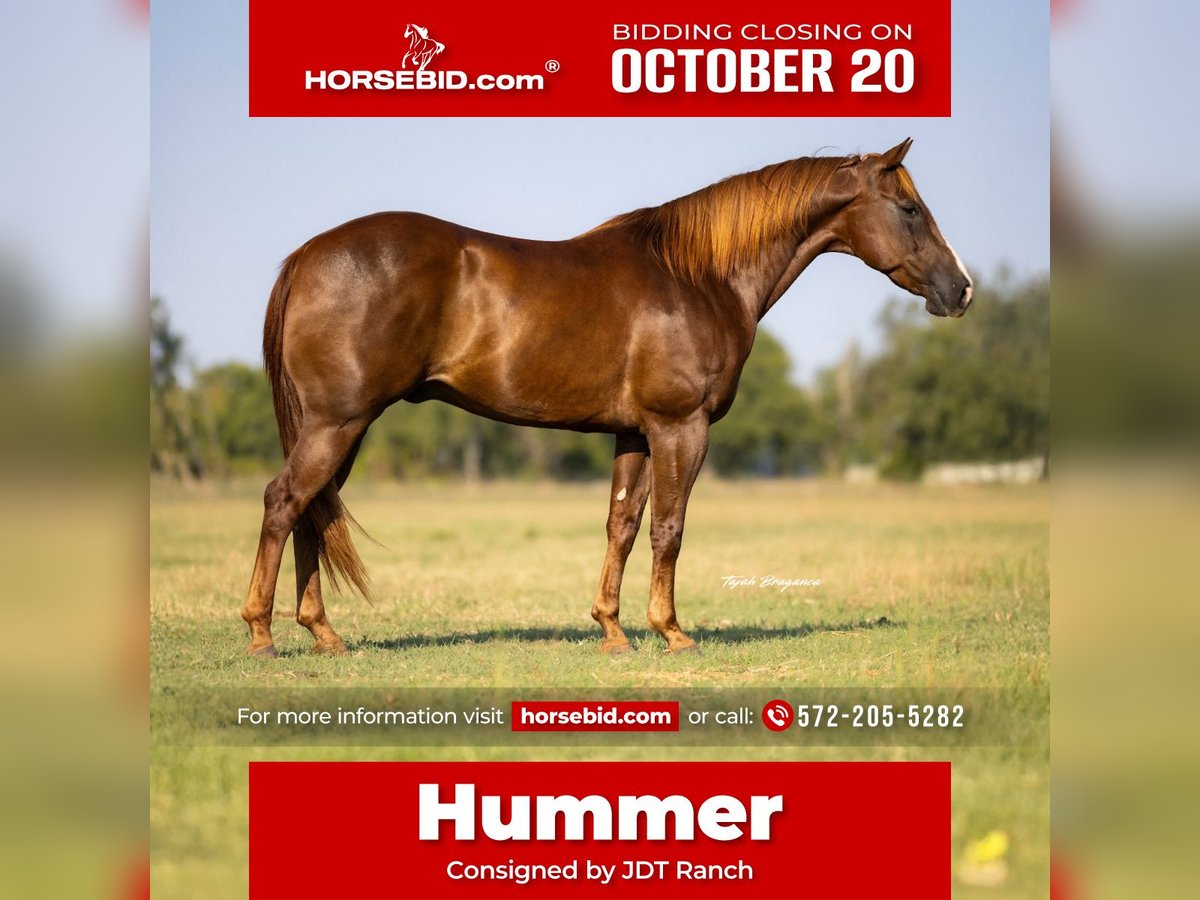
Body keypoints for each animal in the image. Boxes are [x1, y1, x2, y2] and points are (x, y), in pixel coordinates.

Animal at [241, 138, 973, 658]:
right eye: (909, 209)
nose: (960, 289)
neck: (698, 275)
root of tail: (307, 256)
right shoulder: (681, 427)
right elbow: (669, 528)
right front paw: (672, 631)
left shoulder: (635, 433)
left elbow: (622, 524)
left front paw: (612, 630)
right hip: (338, 422)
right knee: (285, 501)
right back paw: (262, 633)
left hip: (339, 428)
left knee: (311, 511)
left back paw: (323, 634)